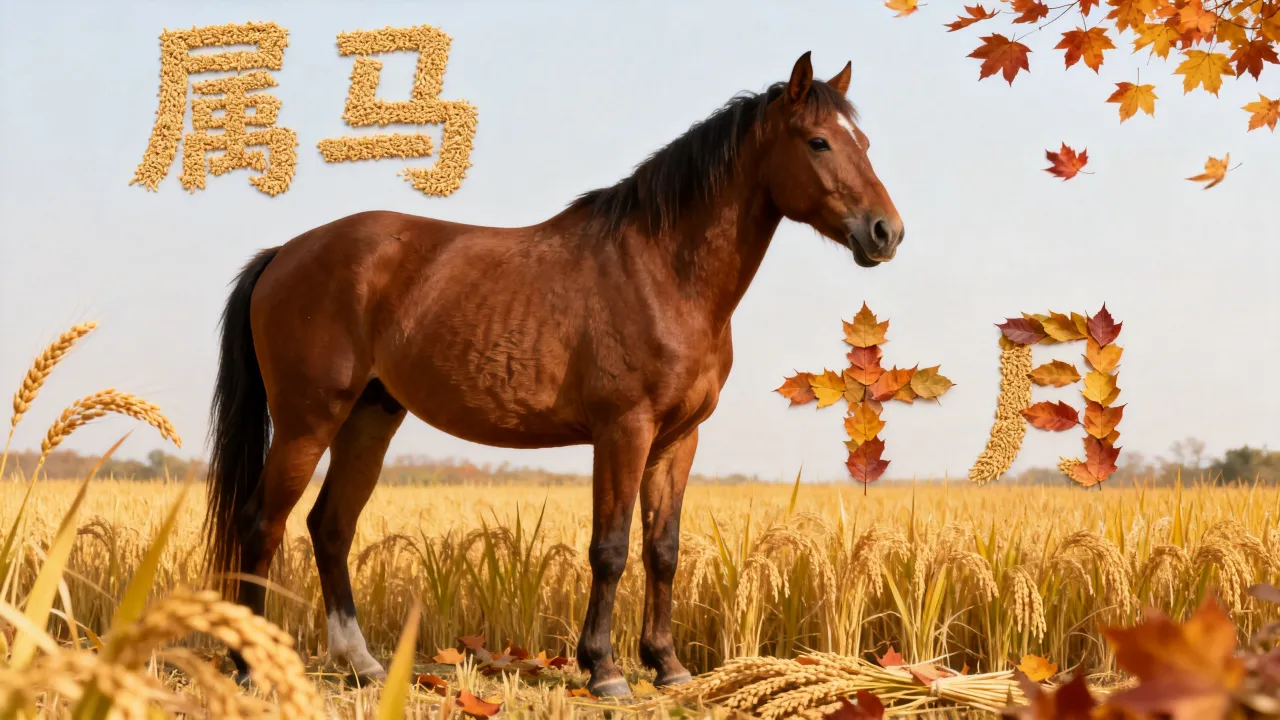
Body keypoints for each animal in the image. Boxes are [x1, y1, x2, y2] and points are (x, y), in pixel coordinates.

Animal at [203, 51, 904, 697]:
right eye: (818, 141)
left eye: (866, 143)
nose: (886, 233)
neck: (661, 270)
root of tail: (284, 253)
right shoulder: (624, 429)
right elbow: (610, 548)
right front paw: (605, 672)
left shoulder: (678, 439)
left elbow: (664, 549)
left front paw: (668, 666)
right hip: (307, 420)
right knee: (261, 525)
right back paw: (250, 668)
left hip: (369, 417)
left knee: (330, 526)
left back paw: (364, 665)